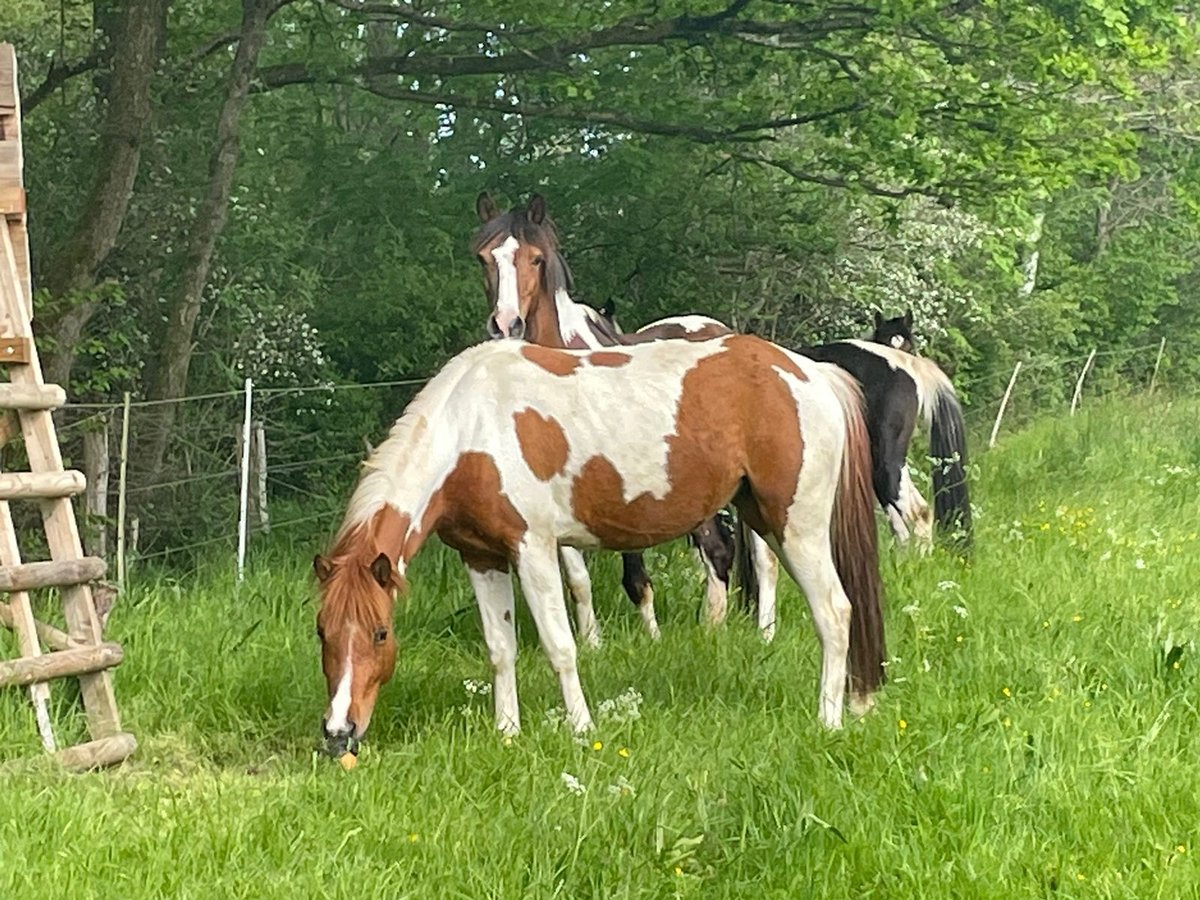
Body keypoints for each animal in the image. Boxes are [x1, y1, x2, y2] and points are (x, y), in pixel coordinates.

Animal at [314, 333, 888, 753]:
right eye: (322, 632)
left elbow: (560, 646)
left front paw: (581, 729)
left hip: (798, 527)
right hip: (762, 517)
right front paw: (507, 733)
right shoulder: (481, 557)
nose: (339, 732)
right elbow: (501, 649)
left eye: (381, 633)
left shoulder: (535, 549)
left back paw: (829, 719)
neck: (472, 430)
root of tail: (809, 373)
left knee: (835, 612)